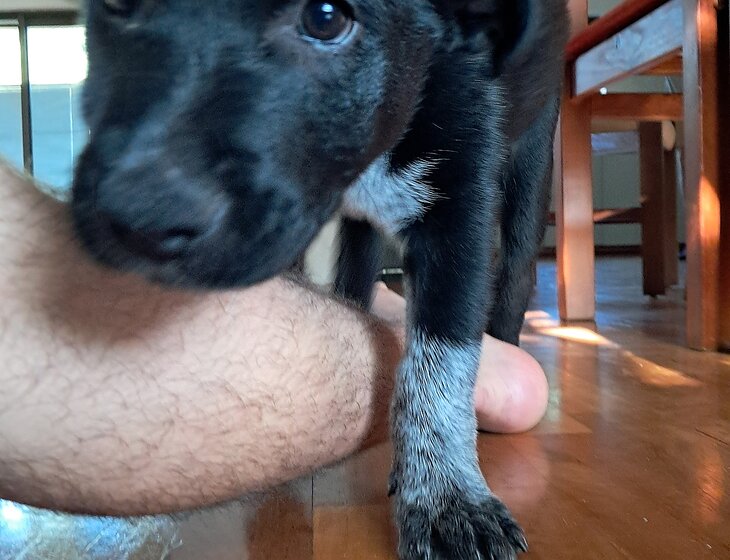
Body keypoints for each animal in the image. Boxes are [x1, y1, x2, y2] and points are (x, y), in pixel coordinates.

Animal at [72, 1, 568, 557]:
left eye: (326, 18)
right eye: (114, 6)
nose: (140, 215)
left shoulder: (460, 210)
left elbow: (443, 363)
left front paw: (447, 498)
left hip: (532, 166)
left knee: (517, 276)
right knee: (356, 278)